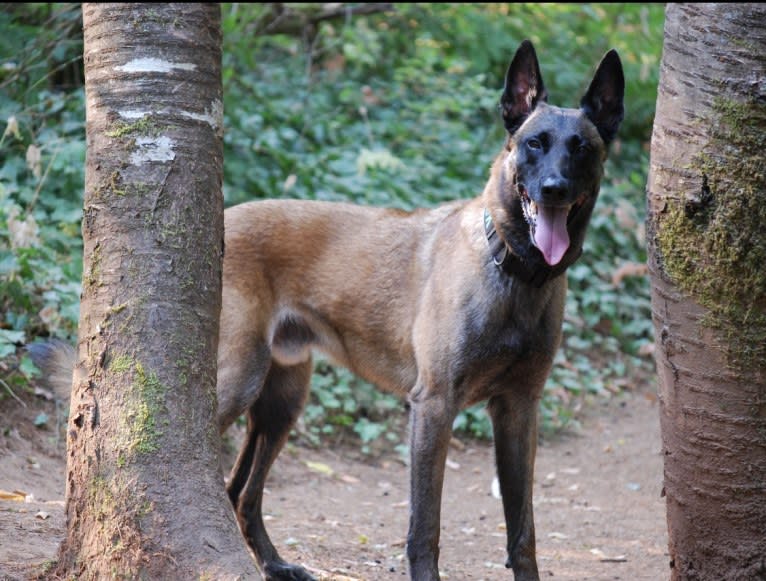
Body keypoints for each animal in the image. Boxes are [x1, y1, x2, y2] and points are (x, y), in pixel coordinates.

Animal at [33, 42, 628, 580]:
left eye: (581, 148)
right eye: (534, 144)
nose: (553, 190)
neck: (514, 272)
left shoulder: (519, 411)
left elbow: (523, 530)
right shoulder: (434, 406)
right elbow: (425, 528)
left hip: (282, 401)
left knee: (240, 494)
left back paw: (276, 566)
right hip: (237, 381)